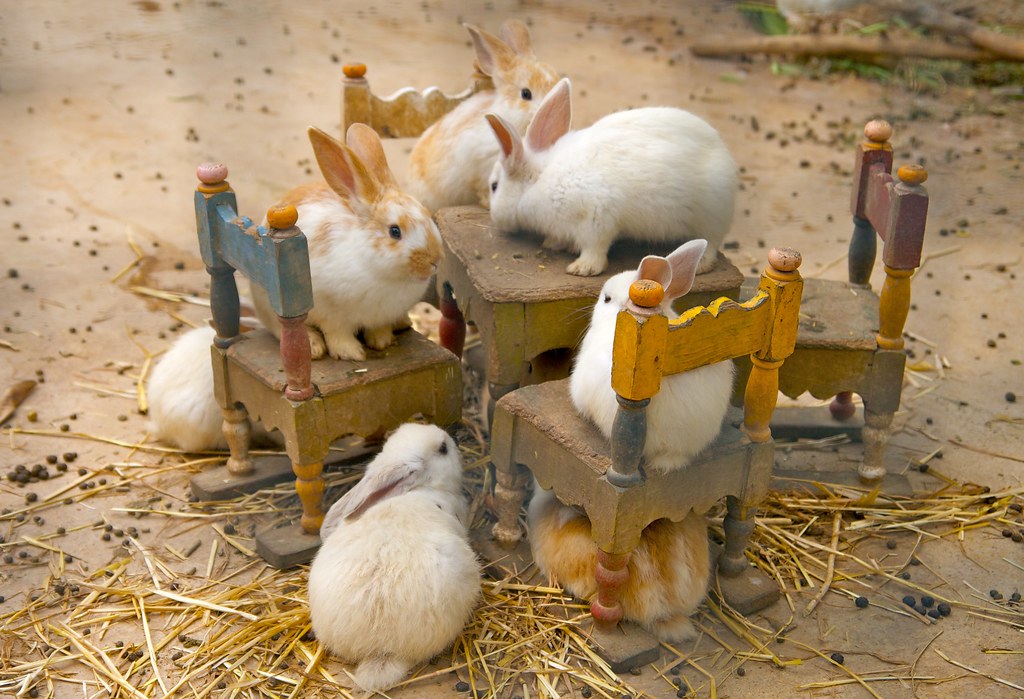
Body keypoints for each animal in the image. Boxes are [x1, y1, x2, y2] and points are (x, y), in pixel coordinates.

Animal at [251, 124, 443, 362]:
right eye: (395, 231)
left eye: (426, 214)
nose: (435, 261)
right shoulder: (329, 312)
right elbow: (337, 333)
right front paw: (353, 353)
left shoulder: (381, 317)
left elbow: (378, 328)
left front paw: (381, 341)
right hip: (271, 307)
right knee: (281, 330)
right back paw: (314, 347)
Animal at [485, 78, 737, 277]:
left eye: (494, 186)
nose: (495, 219)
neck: (539, 179)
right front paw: (554, 244)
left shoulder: (597, 217)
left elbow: (595, 248)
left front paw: (582, 268)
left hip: (710, 216)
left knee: (711, 242)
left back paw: (701, 265)